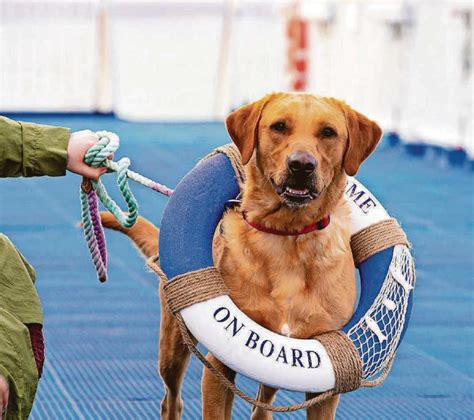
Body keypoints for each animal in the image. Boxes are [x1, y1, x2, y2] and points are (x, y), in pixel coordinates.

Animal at [102, 92, 384, 420]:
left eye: (328, 132)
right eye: (279, 126)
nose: (301, 165)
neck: (289, 236)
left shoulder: (324, 380)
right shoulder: (218, 368)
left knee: (262, 406)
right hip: (173, 346)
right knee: (171, 399)